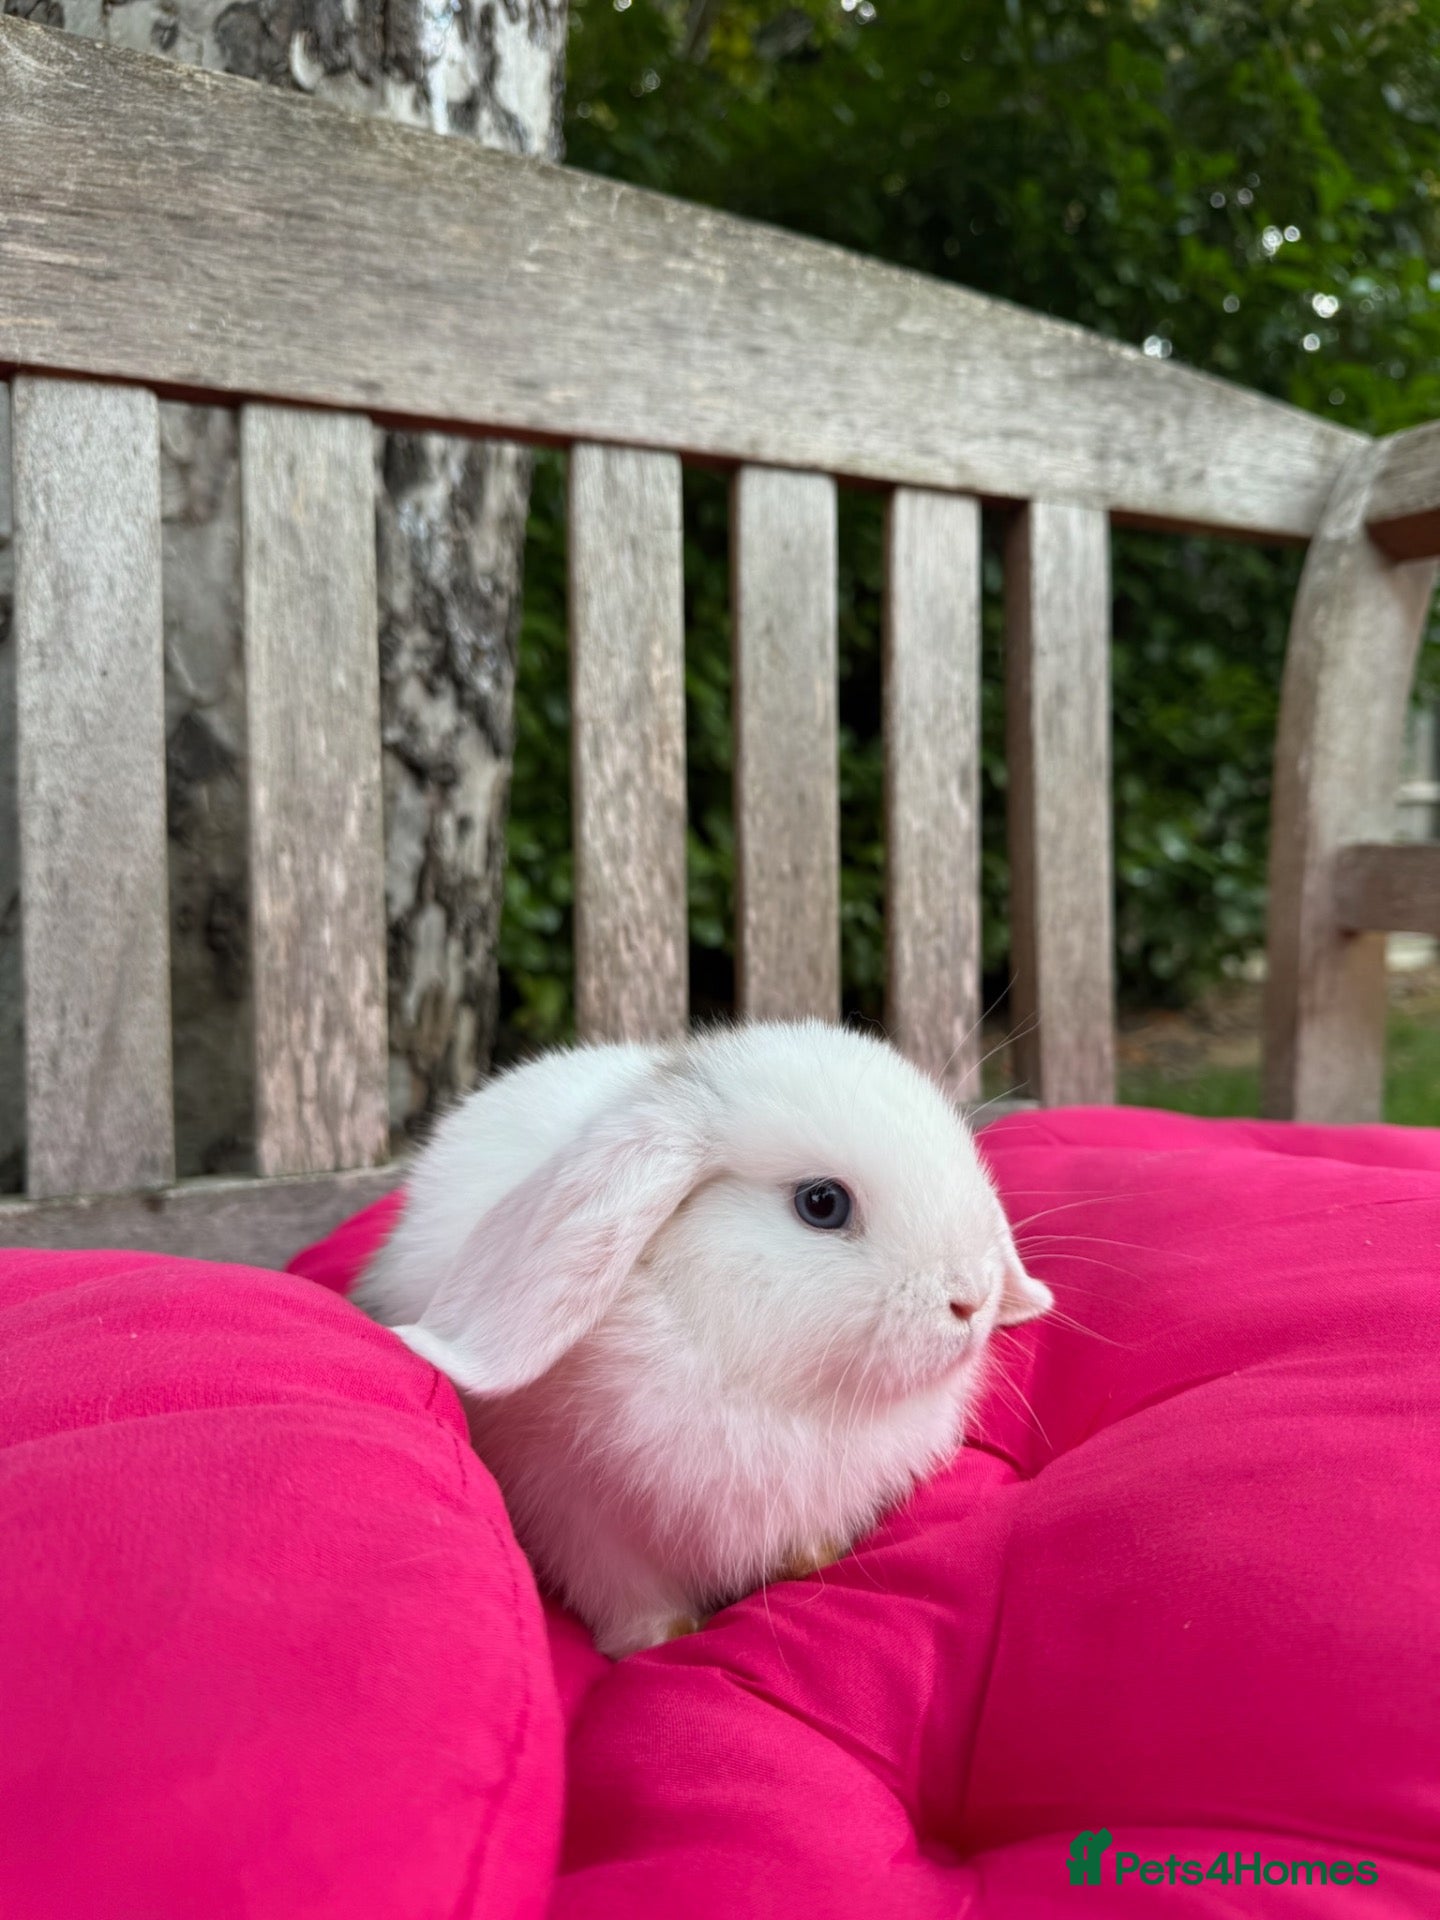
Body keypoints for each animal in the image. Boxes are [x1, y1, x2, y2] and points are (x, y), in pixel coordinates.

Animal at [353, 1019, 1052, 1657]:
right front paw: (662, 1638)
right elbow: (627, 1593)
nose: (972, 1298)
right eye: (822, 1203)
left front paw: (813, 1559)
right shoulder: (578, 1516)